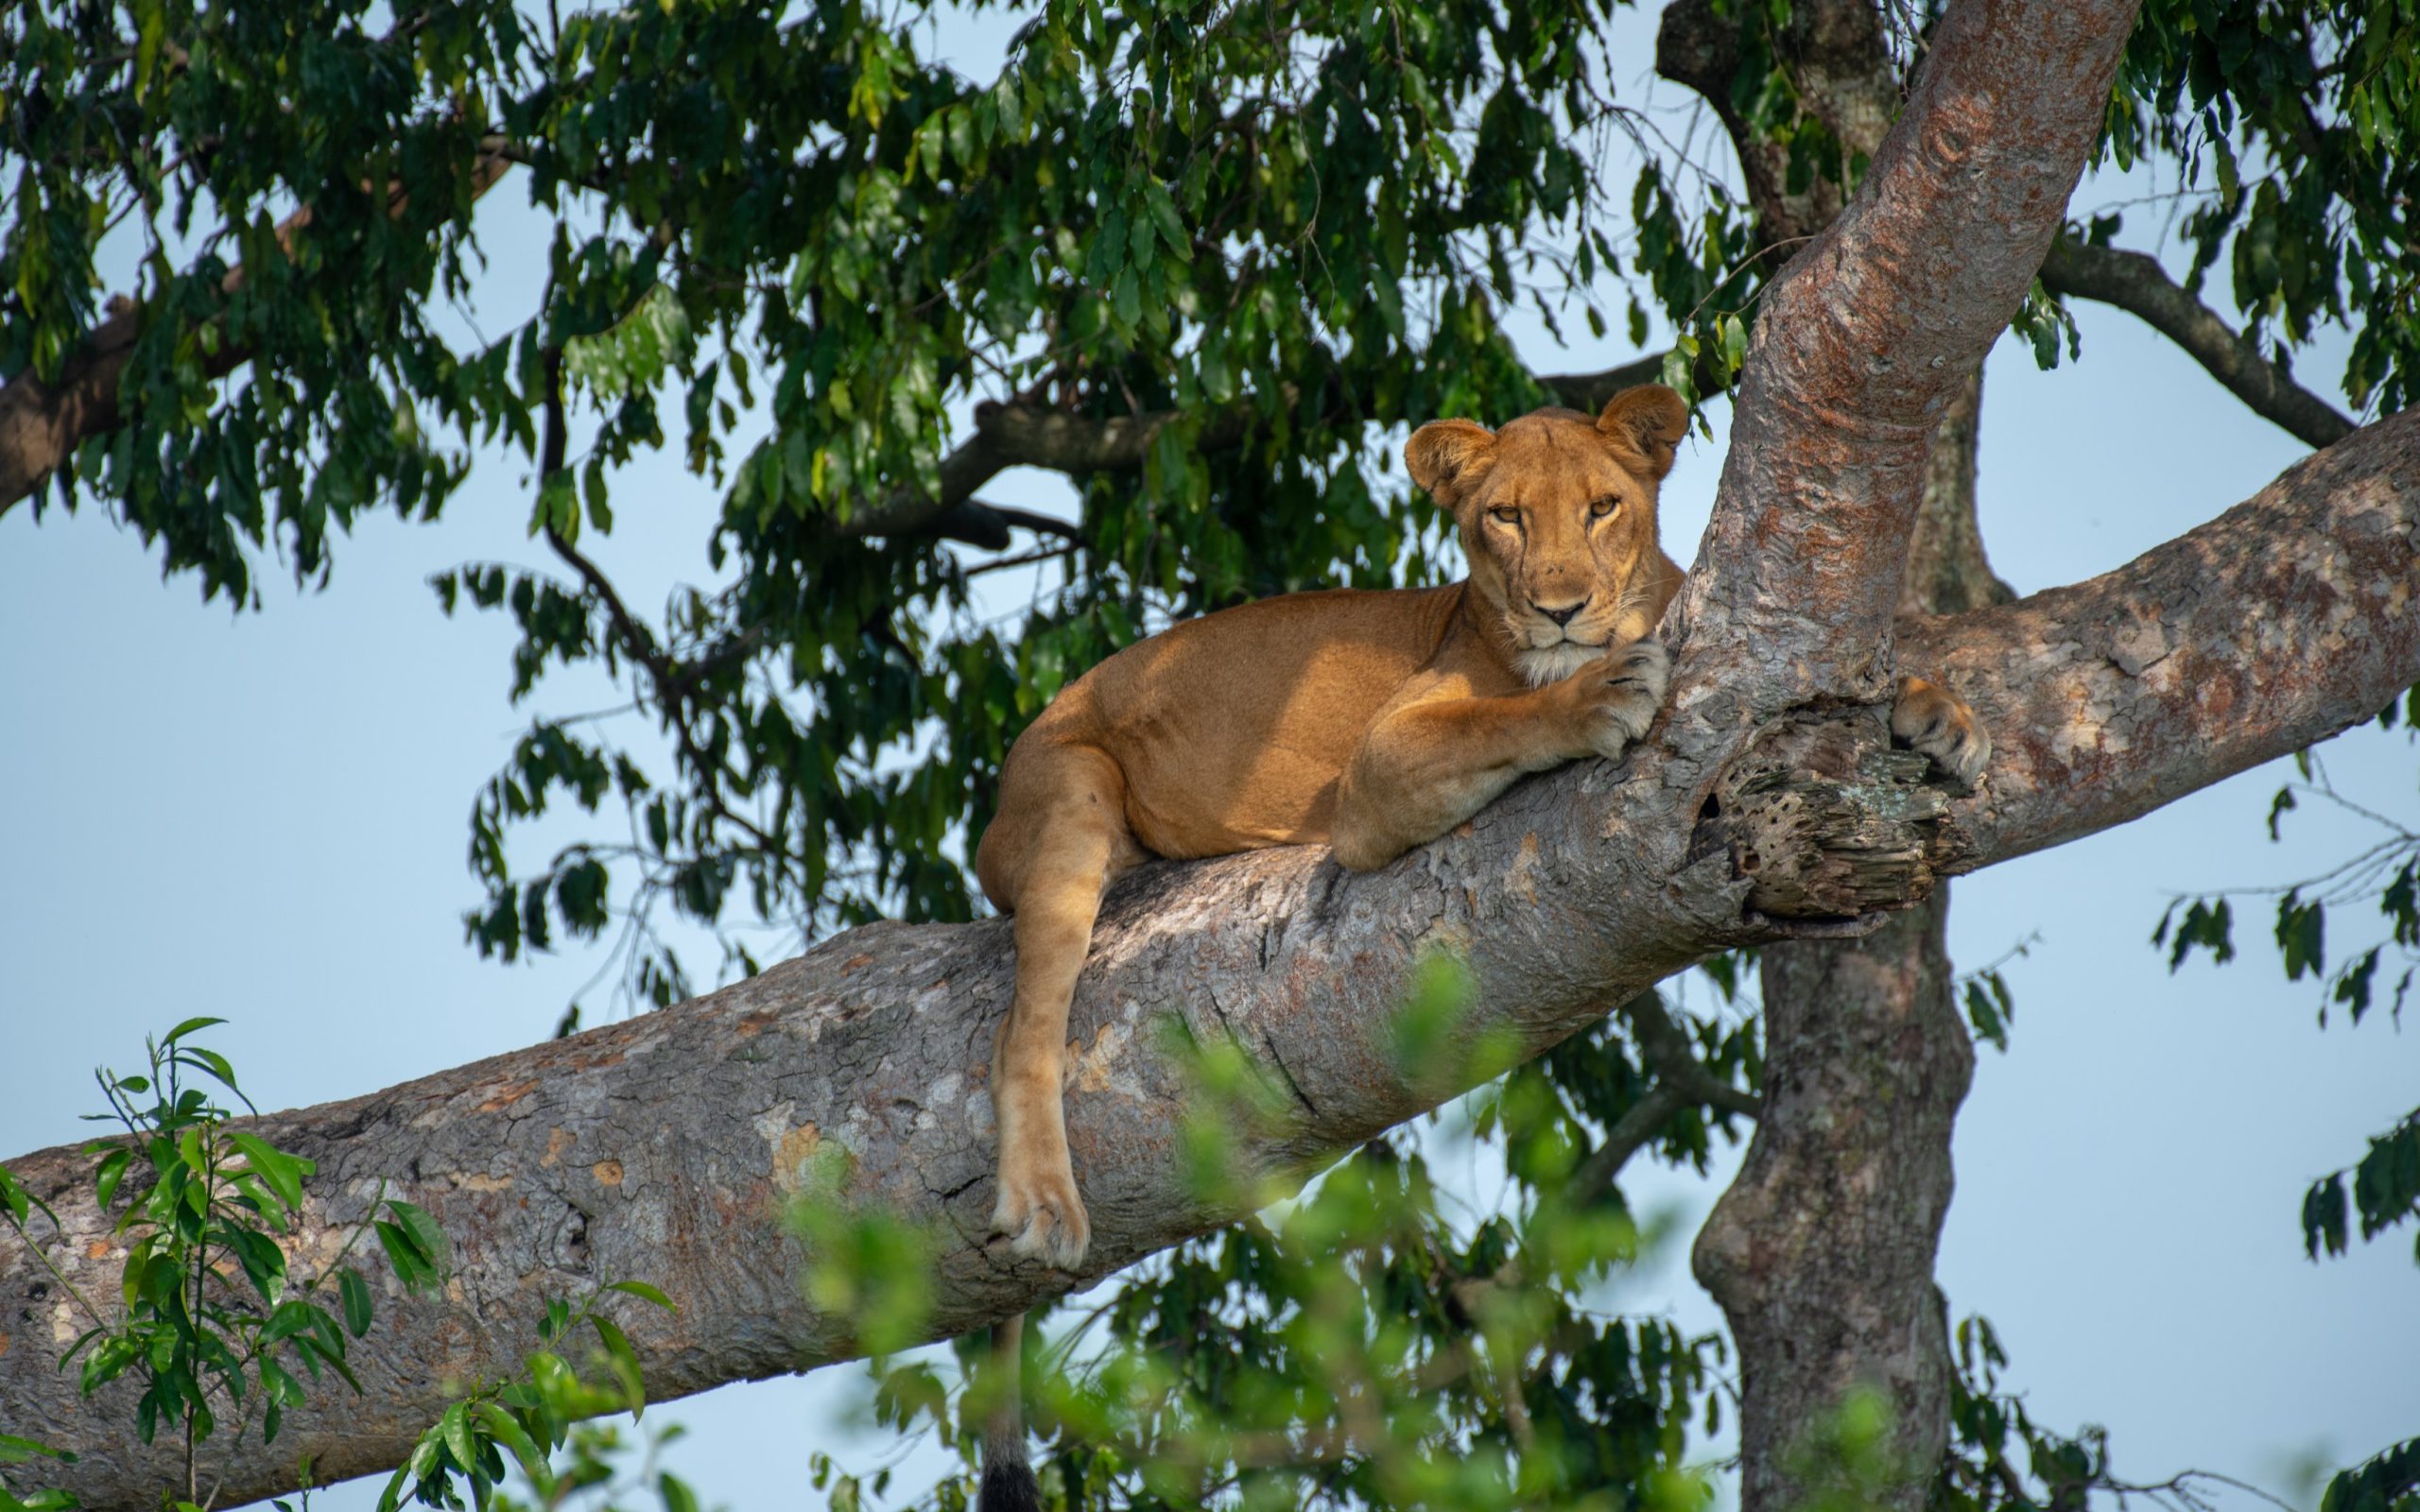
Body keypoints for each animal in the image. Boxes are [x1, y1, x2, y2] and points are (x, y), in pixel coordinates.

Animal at [966, 384, 1987, 1510]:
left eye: (1601, 508)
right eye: (1503, 516)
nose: (1560, 609)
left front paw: (1937, 709)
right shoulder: (1378, 769)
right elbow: (1507, 717)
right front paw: (1595, 692)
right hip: (1068, 795)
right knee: (1026, 1021)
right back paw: (1044, 1200)